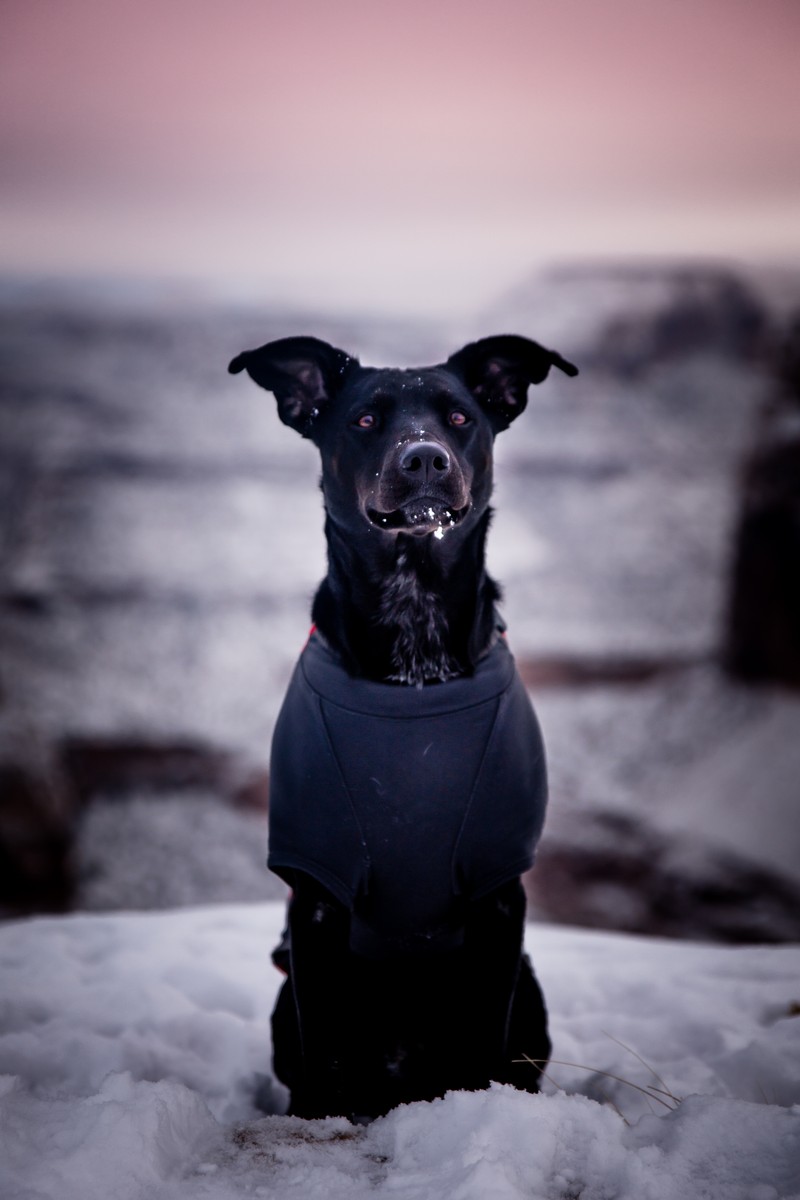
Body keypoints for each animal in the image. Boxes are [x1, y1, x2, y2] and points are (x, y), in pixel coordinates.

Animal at [227, 333, 578, 1118]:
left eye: (460, 417)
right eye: (364, 421)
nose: (423, 459)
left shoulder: (499, 897)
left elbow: (483, 1041)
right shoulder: (316, 899)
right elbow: (324, 1051)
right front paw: (317, 1126)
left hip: (533, 994)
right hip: (288, 993)